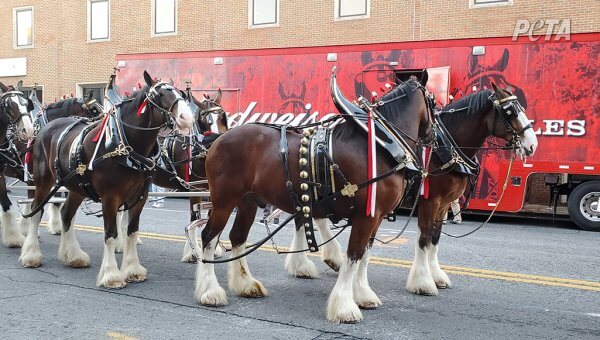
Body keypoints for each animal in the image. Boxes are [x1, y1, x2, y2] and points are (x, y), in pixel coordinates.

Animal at [19, 71, 192, 290]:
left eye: (180, 93)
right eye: (158, 95)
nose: (187, 118)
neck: (124, 145)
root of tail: (44, 129)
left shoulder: (140, 197)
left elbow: (132, 232)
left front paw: (132, 269)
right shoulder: (110, 197)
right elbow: (111, 234)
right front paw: (112, 275)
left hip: (77, 187)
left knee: (66, 214)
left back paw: (73, 256)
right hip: (43, 181)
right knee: (36, 211)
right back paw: (31, 255)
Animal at [195, 72, 434, 324]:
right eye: (434, 102)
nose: (434, 138)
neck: (379, 142)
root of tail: (218, 140)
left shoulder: (376, 216)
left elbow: (365, 255)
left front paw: (362, 294)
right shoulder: (366, 216)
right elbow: (354, 255)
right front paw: (345, 306)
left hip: (247, 202)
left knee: (237, 237)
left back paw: (246, 284)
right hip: (224, 201)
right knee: (208, 237)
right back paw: (210, 291)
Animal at [408, 84, 540, 294]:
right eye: (509, 112)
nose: (532, 144)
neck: (443, 149)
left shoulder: (443, 204)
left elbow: (435, 237)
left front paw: (436, 276)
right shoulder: (429, 201)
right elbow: (424, 237)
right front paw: (422, 282)